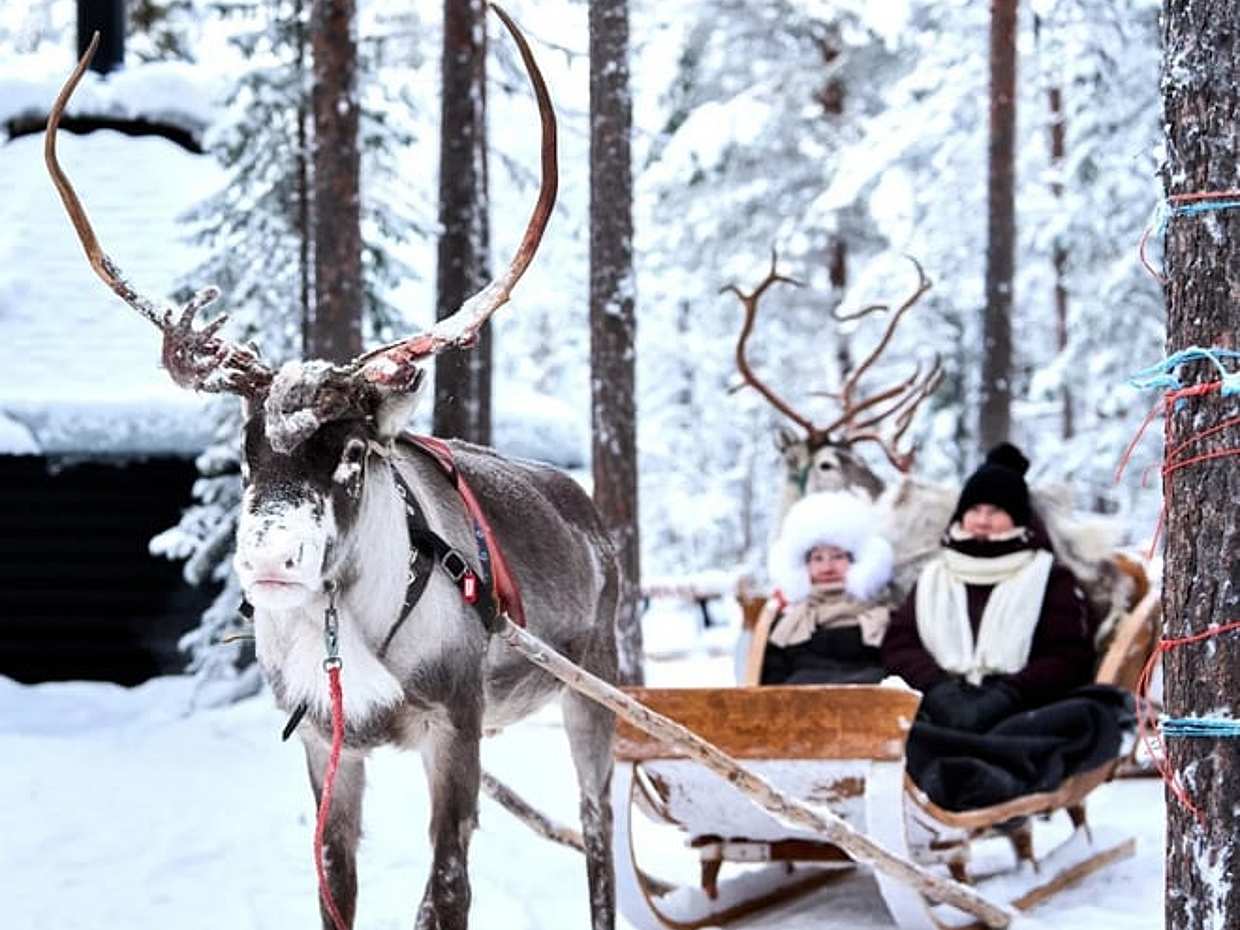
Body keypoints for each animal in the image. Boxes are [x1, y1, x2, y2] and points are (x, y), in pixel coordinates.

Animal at [47, 12, 617, 930]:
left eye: (353, 453)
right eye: (247, 452)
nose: (272, 560)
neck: (351, 633)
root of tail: (591, 511)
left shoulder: (455, 726)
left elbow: (447, 889)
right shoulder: (323, 739)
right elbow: (332, 883)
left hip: (595, 685)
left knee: (600, 834)